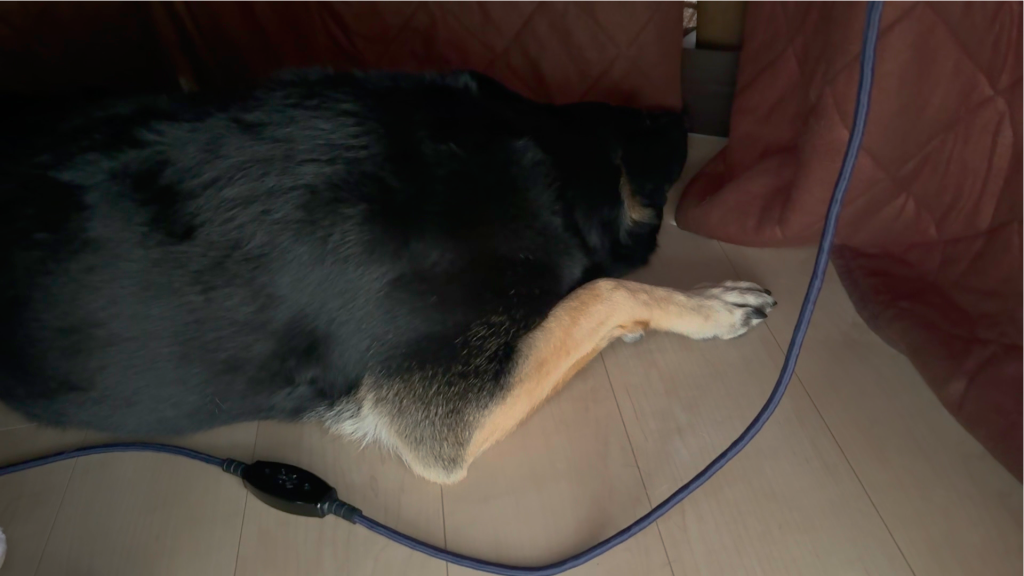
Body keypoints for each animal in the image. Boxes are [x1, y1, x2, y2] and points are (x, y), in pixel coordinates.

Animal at [0, 70, 775, 484]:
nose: (681, 114)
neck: (545, 161)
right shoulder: (437, 419)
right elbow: (604, 292)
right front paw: (711, 305)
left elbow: (590, 302)